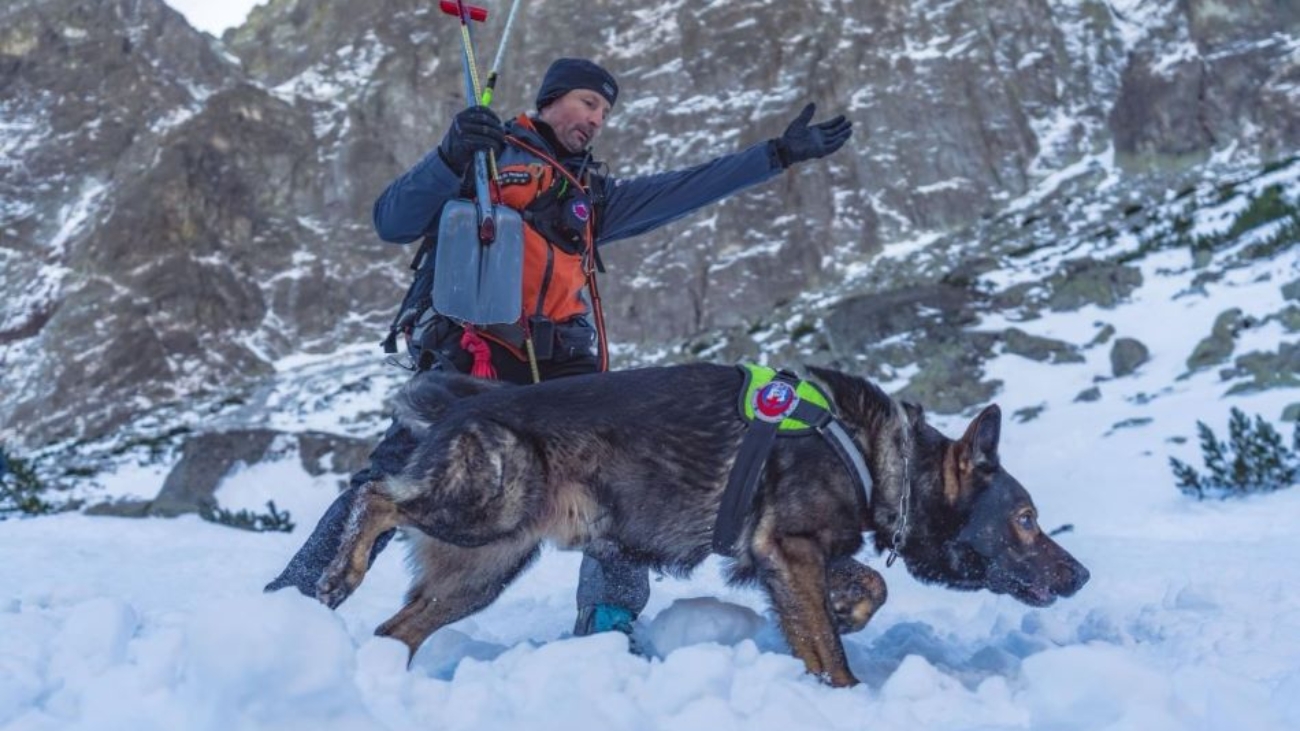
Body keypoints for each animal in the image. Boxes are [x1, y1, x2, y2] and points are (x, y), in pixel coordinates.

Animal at [319, 361, 1092, 686]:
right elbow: (837, 641)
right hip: (487, 509)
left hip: (483, 568)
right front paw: (846, 694)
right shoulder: (790, 548)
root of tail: (456, 405)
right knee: (376, 494)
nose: (1082, 575)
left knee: (398, 628)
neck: (882, 456)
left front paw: (845, 616)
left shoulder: (783, 557)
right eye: (1026, 519)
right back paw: (339, 572)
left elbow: (858, 595)